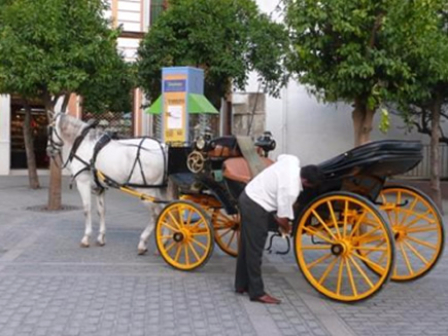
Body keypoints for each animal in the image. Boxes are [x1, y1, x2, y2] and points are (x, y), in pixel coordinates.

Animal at [46, 111, 168, 253]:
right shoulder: (99, 188)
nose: (48, 150)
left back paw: (144, 242)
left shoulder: (83, 183)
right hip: (159, 189)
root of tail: (162, 147)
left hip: (147, 191)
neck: (82, 143)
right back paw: (164, 241)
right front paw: (101, 237)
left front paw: (86, 237)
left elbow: (86, 209)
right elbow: (101, 210)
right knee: (167, 211)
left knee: (157, 214)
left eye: (49, 129)